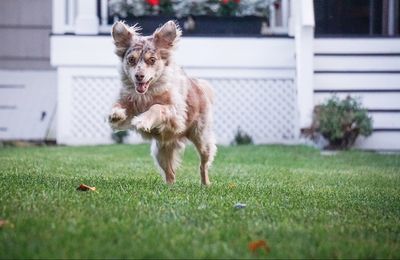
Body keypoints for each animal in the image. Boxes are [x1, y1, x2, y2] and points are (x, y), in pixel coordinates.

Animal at [108, 21, 217, 186]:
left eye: (152, 60)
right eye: (131, 60)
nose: (139, 76)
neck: (147, 94)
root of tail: (199, 85)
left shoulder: (175, 114)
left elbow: (157, 107)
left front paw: (142, 120)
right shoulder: (129, 100)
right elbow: (121, 105)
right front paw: (116, 114)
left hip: (202, 139)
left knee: (203, 164)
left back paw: (205, 184)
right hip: (160, 152)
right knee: (170, 173)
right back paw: (170, 187)